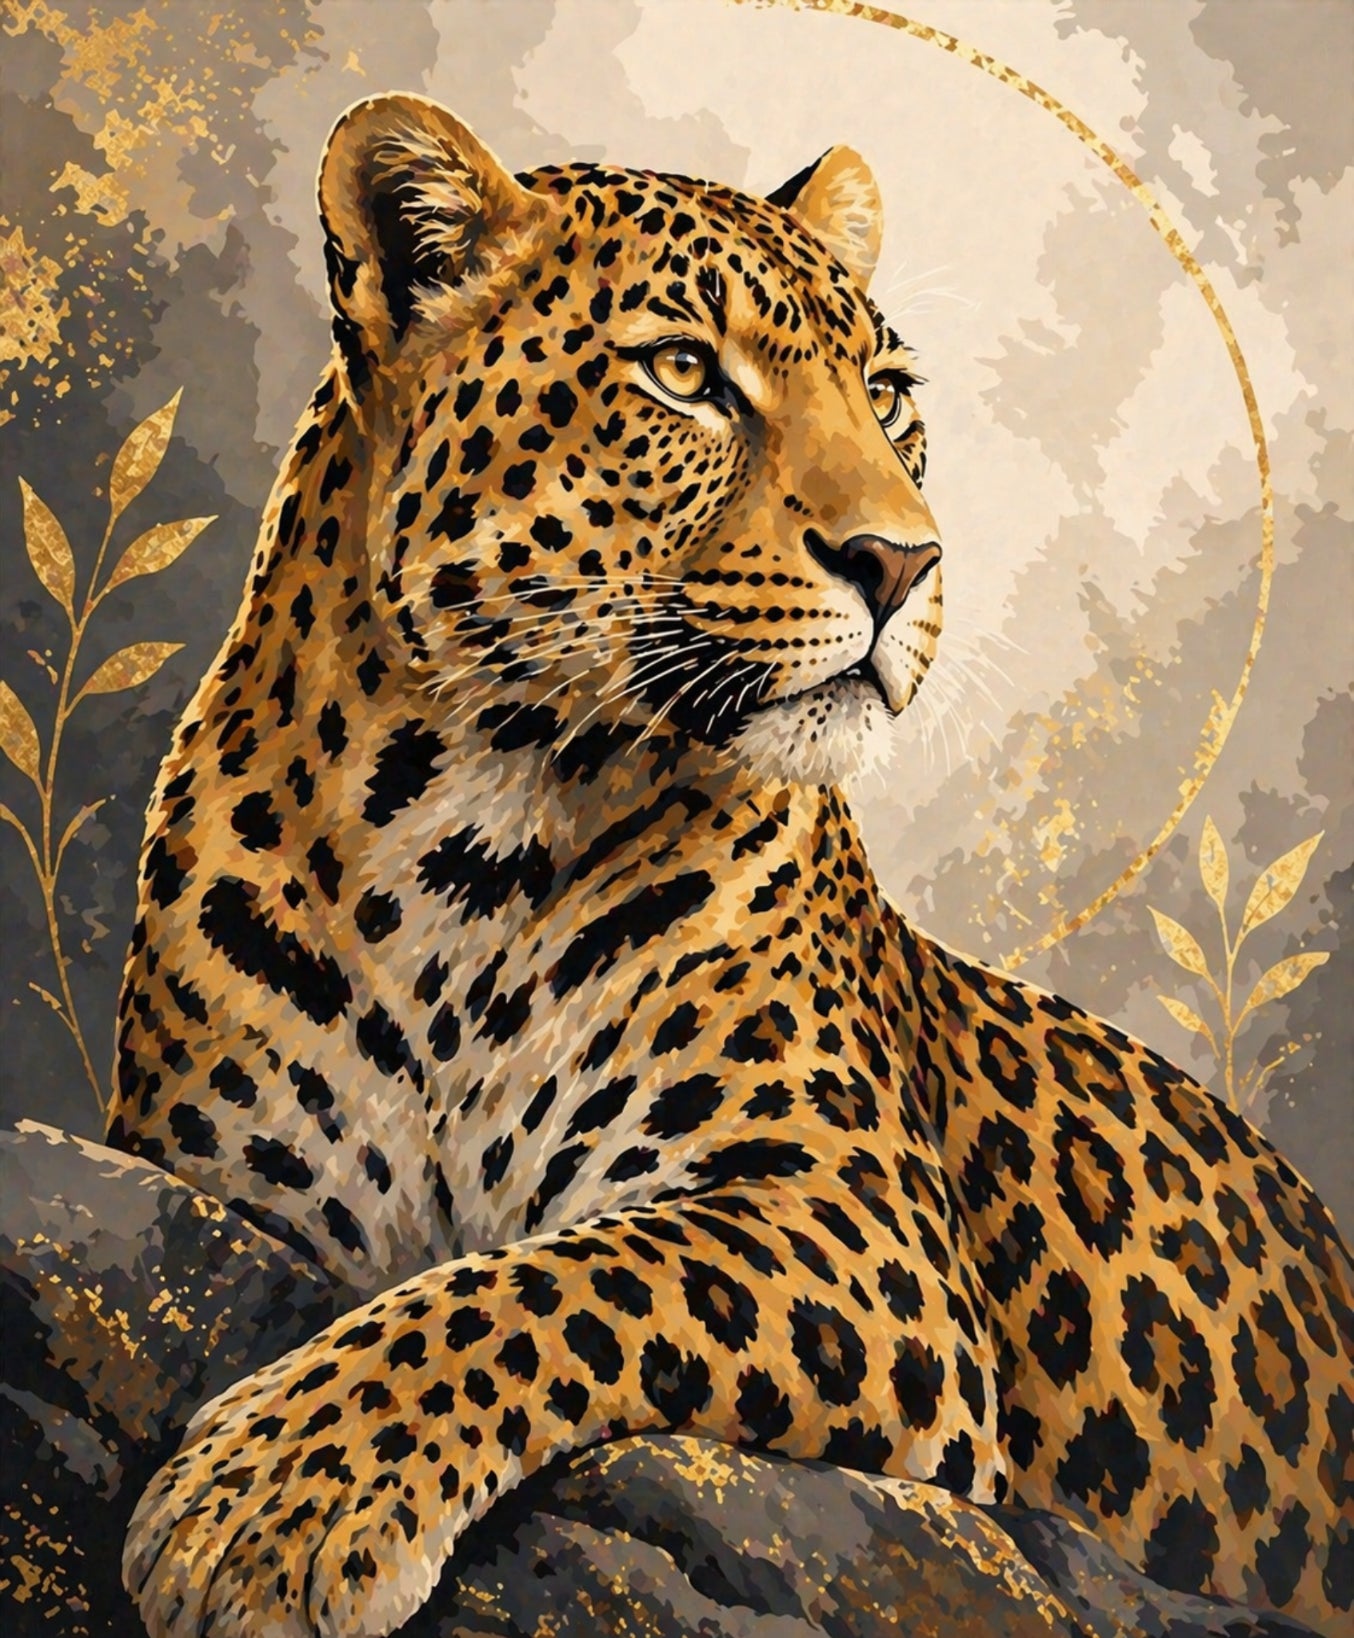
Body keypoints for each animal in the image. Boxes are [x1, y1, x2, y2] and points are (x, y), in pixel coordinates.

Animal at [106, 93, 1352, 1638]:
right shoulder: (244, 1184)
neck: (466, 837)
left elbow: (552, 1283)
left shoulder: (856, 1222)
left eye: (886, 394)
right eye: (685, 373)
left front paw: (275, 1501)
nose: (904, 562)